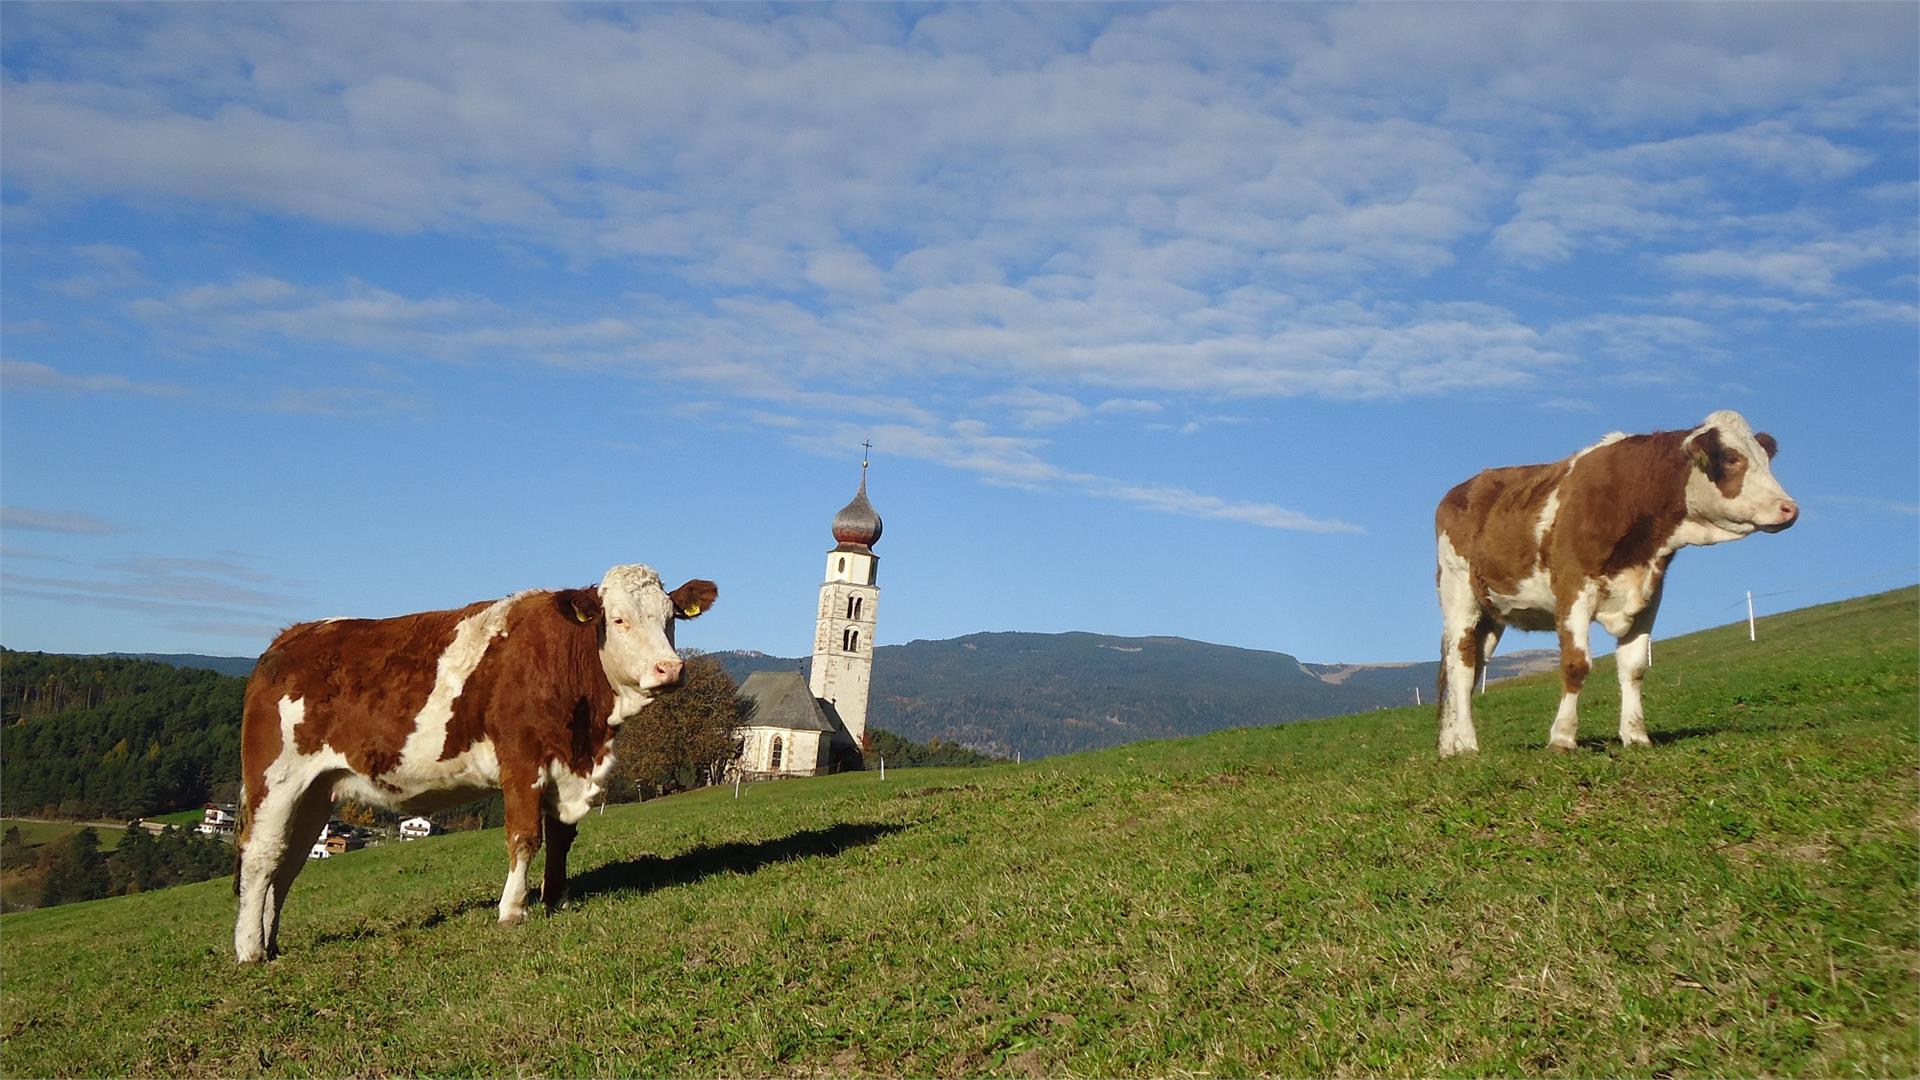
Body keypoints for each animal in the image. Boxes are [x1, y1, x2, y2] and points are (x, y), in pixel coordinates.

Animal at [236, 564, 718, 957]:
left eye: (671, 618)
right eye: (618, 619)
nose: (670, 669)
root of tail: (290, 636)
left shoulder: (566, 767)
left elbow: (561, 837)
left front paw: (556, 898)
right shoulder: (522, 761)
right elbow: (524, 837)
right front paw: (513, 910)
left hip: (317, 790)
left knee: (289, 860)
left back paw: (271, 941)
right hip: (275, 778)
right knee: (260, 855)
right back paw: (250, 949)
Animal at [1443, 407, 1797, 753]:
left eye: (1765, 459)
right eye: (1732, 458)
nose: (1789, 508)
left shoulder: (1650, 595)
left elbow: (1634, 666)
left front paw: (1636, 735)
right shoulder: (1573, 589)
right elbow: (1576, 664)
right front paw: (1562, 738)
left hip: (1492, 614)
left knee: (1468, 667)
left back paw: (1450, 745)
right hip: (1459, 595)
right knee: (1461, 667)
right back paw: (1468, 744)